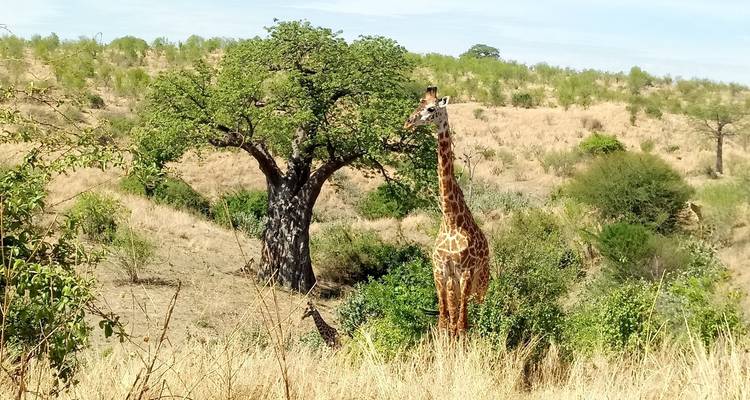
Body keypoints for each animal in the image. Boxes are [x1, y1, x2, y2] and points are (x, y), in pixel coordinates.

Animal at [404, 86, 491, 336]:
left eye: (432, 109)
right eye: (419, 104)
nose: (408, 122)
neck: (451, 220)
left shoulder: (465, 272)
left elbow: (461, 324)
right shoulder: (440, 271)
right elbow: (444, 320)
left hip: (482, 280)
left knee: (476, 311)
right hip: (456, 283)